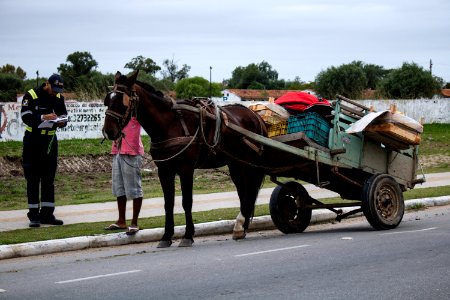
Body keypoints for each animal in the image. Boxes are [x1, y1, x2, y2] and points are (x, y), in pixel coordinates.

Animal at [102, 71, 268, 248]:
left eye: (122, 102)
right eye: (108, 100)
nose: (109, 131)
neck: (169, 123)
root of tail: (255, 116)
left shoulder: (186, 168)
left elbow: (186, 201)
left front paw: (188, 235)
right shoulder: (164, 170)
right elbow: (168, 203)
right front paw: (166, 236)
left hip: (249, 163)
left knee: (250, 189)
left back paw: (241, 225)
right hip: (235, 164)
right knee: (243, 191)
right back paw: (241, 227)